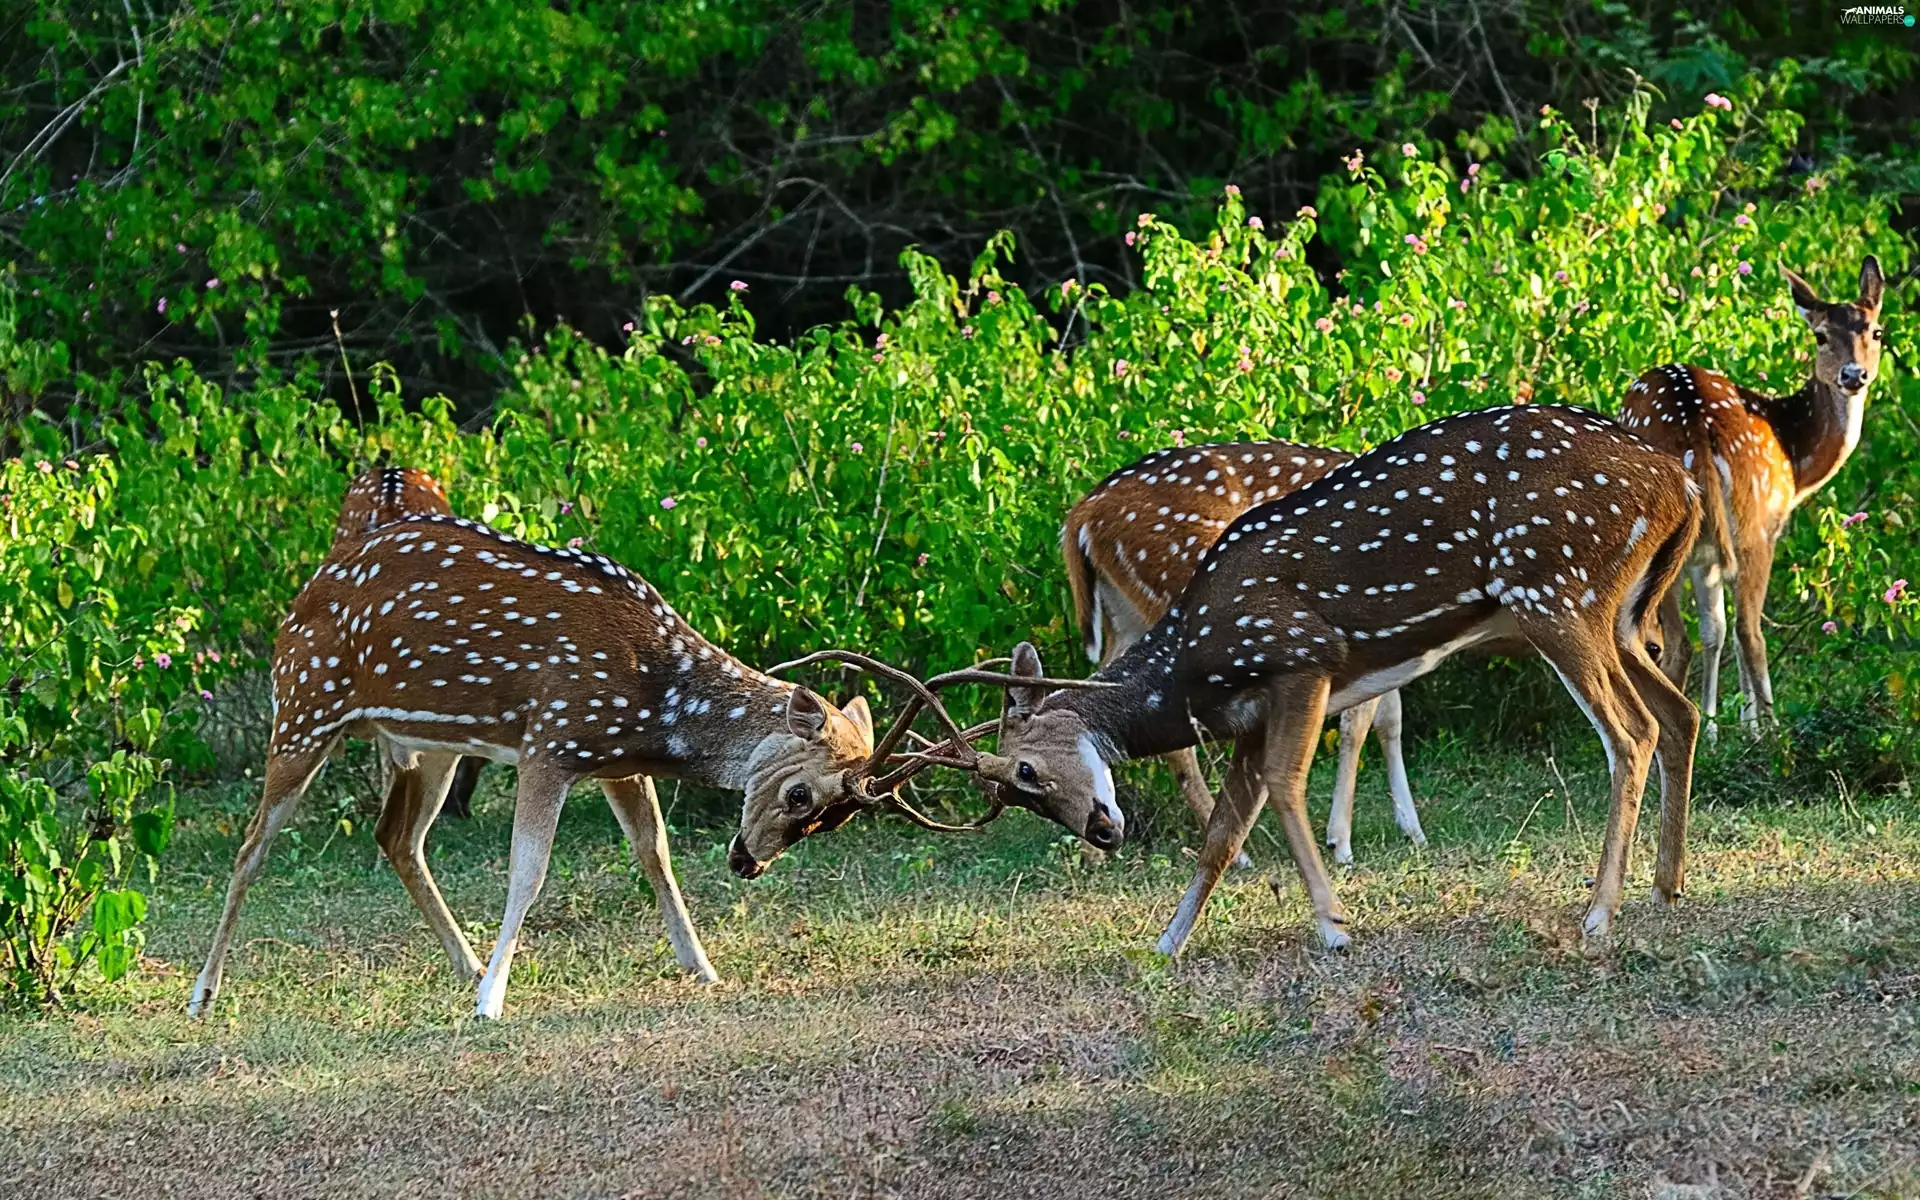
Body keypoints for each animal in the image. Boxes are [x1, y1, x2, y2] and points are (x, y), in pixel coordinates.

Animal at [187, 510, 971, 1019]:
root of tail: (303, 592)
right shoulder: (552, 740)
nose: (747, 861)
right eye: (802, 795)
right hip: (304, 706)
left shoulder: (613, 759)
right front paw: (493, 1002)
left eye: (834, 819)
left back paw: (464, 961)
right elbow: (528, 872)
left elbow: (655, 852)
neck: (656, 701)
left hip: (430, 742)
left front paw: (704, 967)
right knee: (251, 849)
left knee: (397, 836)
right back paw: (203, 994)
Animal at [1064, 439, 1426, 865]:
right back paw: (1237, 853)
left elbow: (1389, 717)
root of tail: (1082, 515)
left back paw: (1092, 851)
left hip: (1127, 614)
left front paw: (1412, 830)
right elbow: (1359, 722)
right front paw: (1341, 842)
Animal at [1620, 256, 1886, 737]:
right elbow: (1730, 630)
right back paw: (1772, 732)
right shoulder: (1766, 528)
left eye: (1875, 331)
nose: (1854, 375)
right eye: (1820, 336)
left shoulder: (1706, 553)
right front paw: (1746, 726)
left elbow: (1714, 631)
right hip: (1750, 526)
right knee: (1738, 632)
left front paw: (1715, 728)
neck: (1797, 460)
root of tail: (1697, 427)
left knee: (1686, 638)